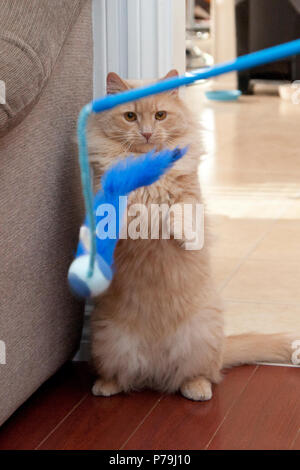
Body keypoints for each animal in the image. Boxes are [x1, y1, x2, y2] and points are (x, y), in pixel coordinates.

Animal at [86, 70, 296, 400]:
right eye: (130, 116)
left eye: (160, 115)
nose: (147, 133)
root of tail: (154, 370)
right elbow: (115, 212)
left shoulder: (190, 196)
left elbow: (181, 212)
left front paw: (182, 234)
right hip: (107, 340)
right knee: (120, 376)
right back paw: (105, 387)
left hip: (202, 336)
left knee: (199, 375)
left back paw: (197, 390)